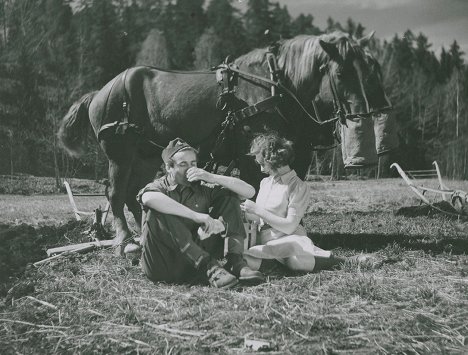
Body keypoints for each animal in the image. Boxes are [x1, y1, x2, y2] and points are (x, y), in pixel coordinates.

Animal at [58, 31, 392, 253]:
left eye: (373, 68)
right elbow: (254, 190)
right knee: (116, 193)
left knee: (134, 193)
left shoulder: (298, 152)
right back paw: (124, 240)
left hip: (146, 156)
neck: (277, 84)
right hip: (121, 154)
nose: (370, 111)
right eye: (341, 72)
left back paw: (143, 231)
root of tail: (101, 91)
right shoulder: (250, 155)